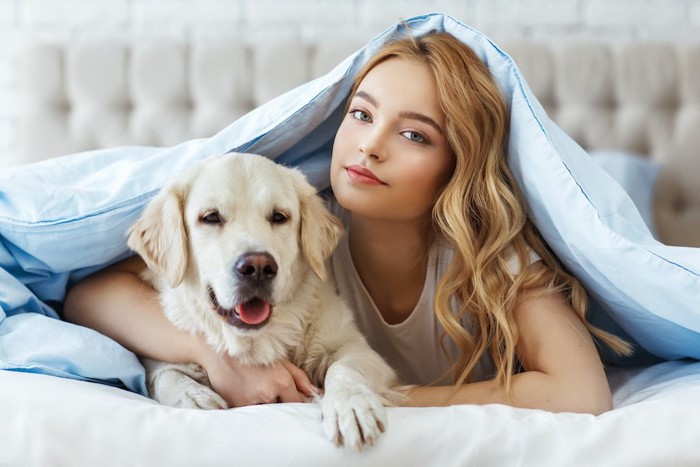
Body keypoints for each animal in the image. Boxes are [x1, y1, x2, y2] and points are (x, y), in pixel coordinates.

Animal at [126, 153, 400, 450]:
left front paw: (350, 406)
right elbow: (164, 372)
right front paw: (191, 396)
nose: (257, 267)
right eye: (211, 217)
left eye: (279, 217)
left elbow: (344, 367)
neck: (260, 341)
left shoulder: (360, 349)